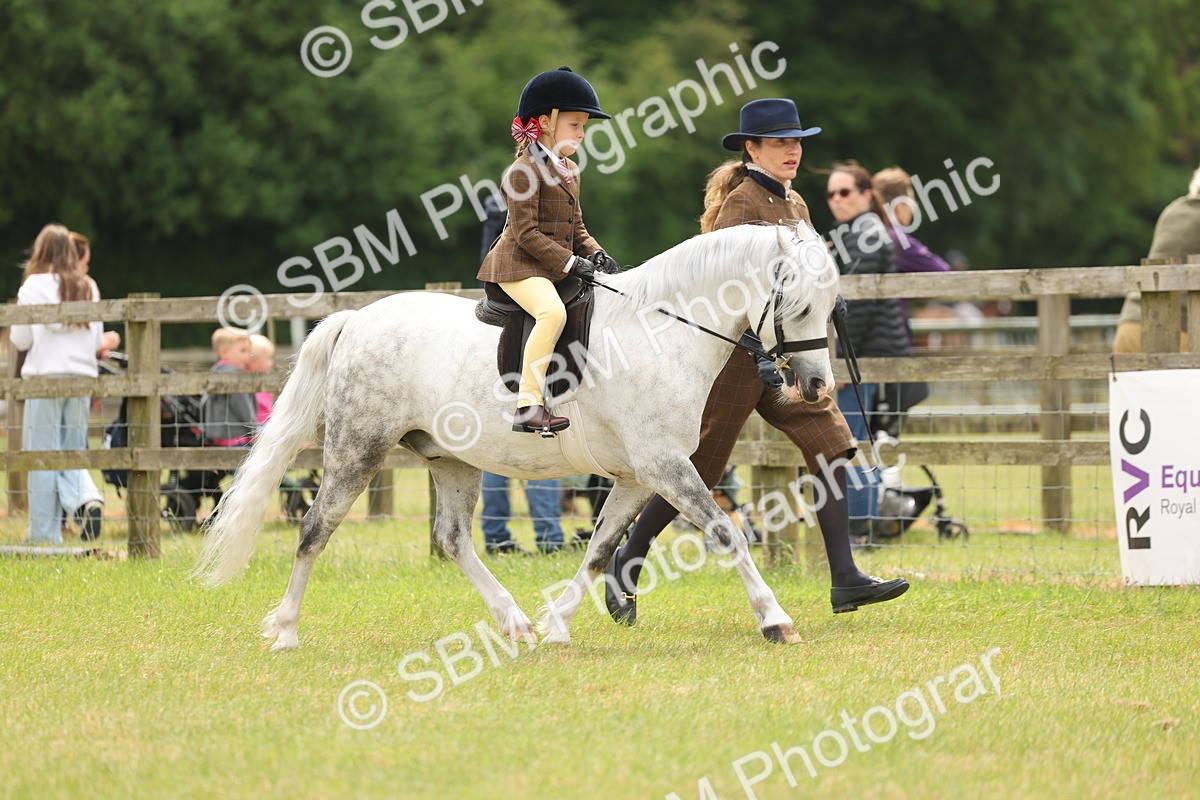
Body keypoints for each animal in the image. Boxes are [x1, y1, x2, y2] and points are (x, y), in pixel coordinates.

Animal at [195, 222, 841, 650]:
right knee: (315, 529)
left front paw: (557, 624)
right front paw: (775, 621)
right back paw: (284, 631)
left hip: (452, 461)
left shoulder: (639, 475)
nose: (816, 386)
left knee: (453, 538)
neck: (660, 328)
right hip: (359, 448)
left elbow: (600, 547)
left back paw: (516, 622)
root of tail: (357, 319)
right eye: (797, 303)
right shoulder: (664, 466)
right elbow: (726, 533)